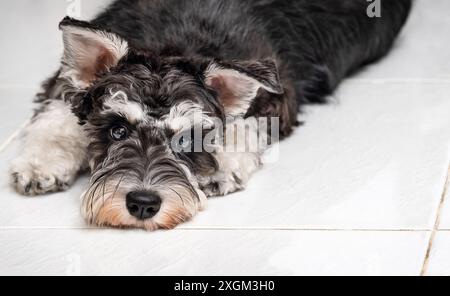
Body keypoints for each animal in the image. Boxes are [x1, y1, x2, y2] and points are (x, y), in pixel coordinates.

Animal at [9, 0, 412, 230]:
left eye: (188, 139)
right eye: (117, 131)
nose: (143, 204)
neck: (174, 43)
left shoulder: (276, 90)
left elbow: (243, 120)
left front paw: (223, 164)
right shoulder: (64, 83)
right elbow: (59, 115)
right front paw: (40, 164)